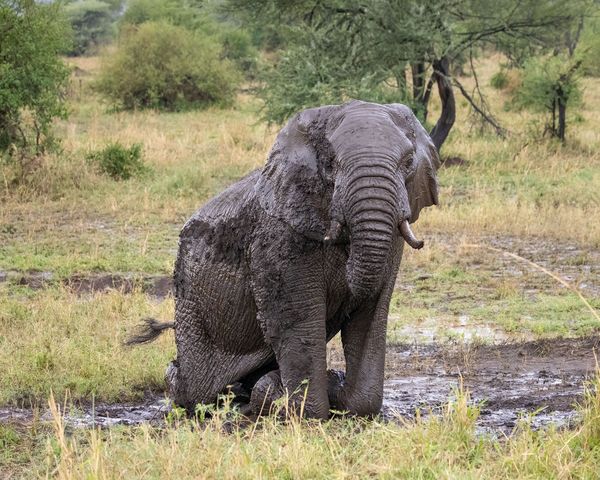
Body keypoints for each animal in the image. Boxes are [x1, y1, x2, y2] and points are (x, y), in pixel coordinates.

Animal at [129, 99, 440, 418]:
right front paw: (304, 410)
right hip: (189, 299)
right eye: (331, 165)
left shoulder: (393, 242)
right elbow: (297, 318)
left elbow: (370, 314)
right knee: (193, 389)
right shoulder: (278, 237)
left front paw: (341, 397)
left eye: (408, 163)